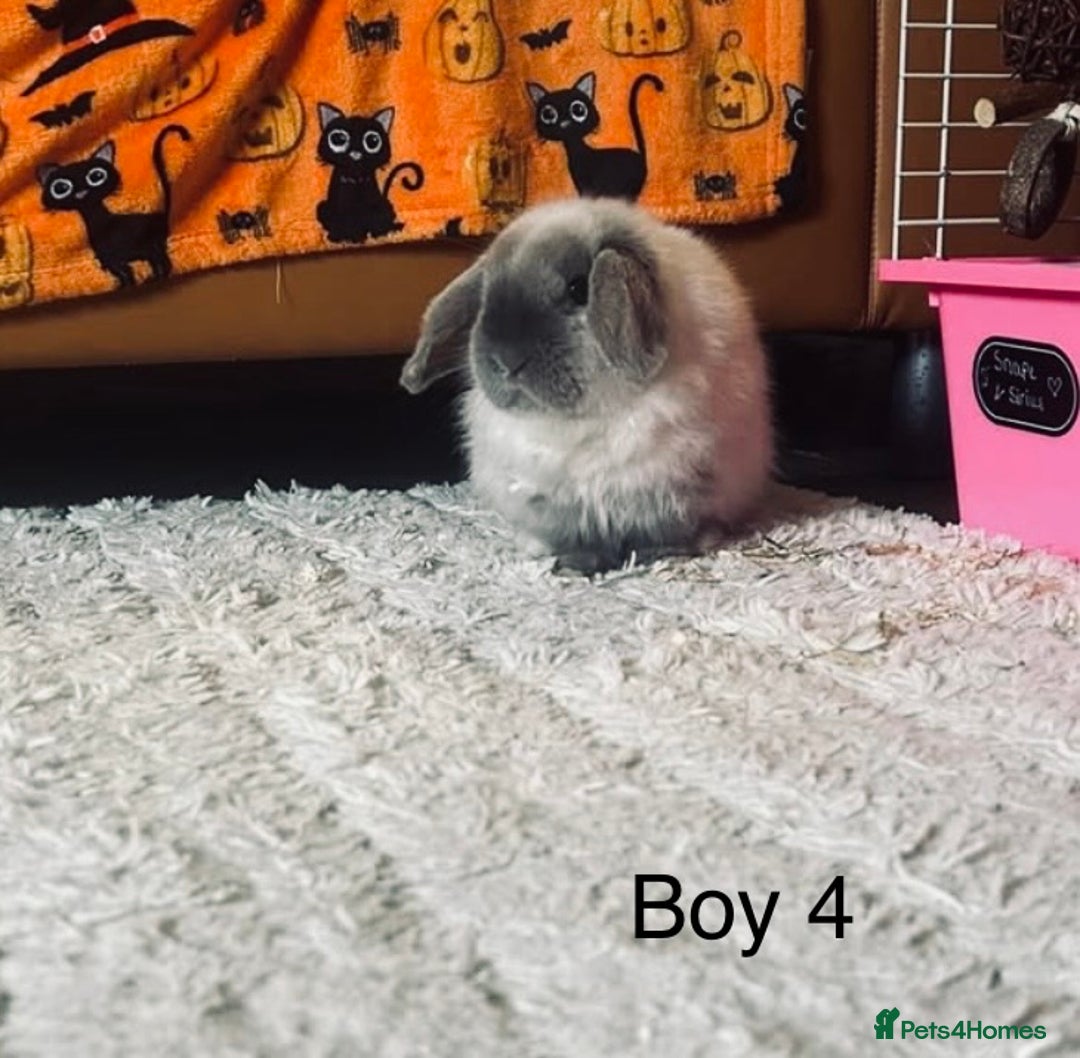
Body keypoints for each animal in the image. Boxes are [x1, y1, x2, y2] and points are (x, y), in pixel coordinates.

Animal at [399, 197, 773, 574]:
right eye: (486, 297)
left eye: (579, 288)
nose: (506, 361)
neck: (582, 421)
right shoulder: (553, 504)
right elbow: (578, 539)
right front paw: (573, 563)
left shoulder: (678, 489)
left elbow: (666, 530)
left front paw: (659, 553)